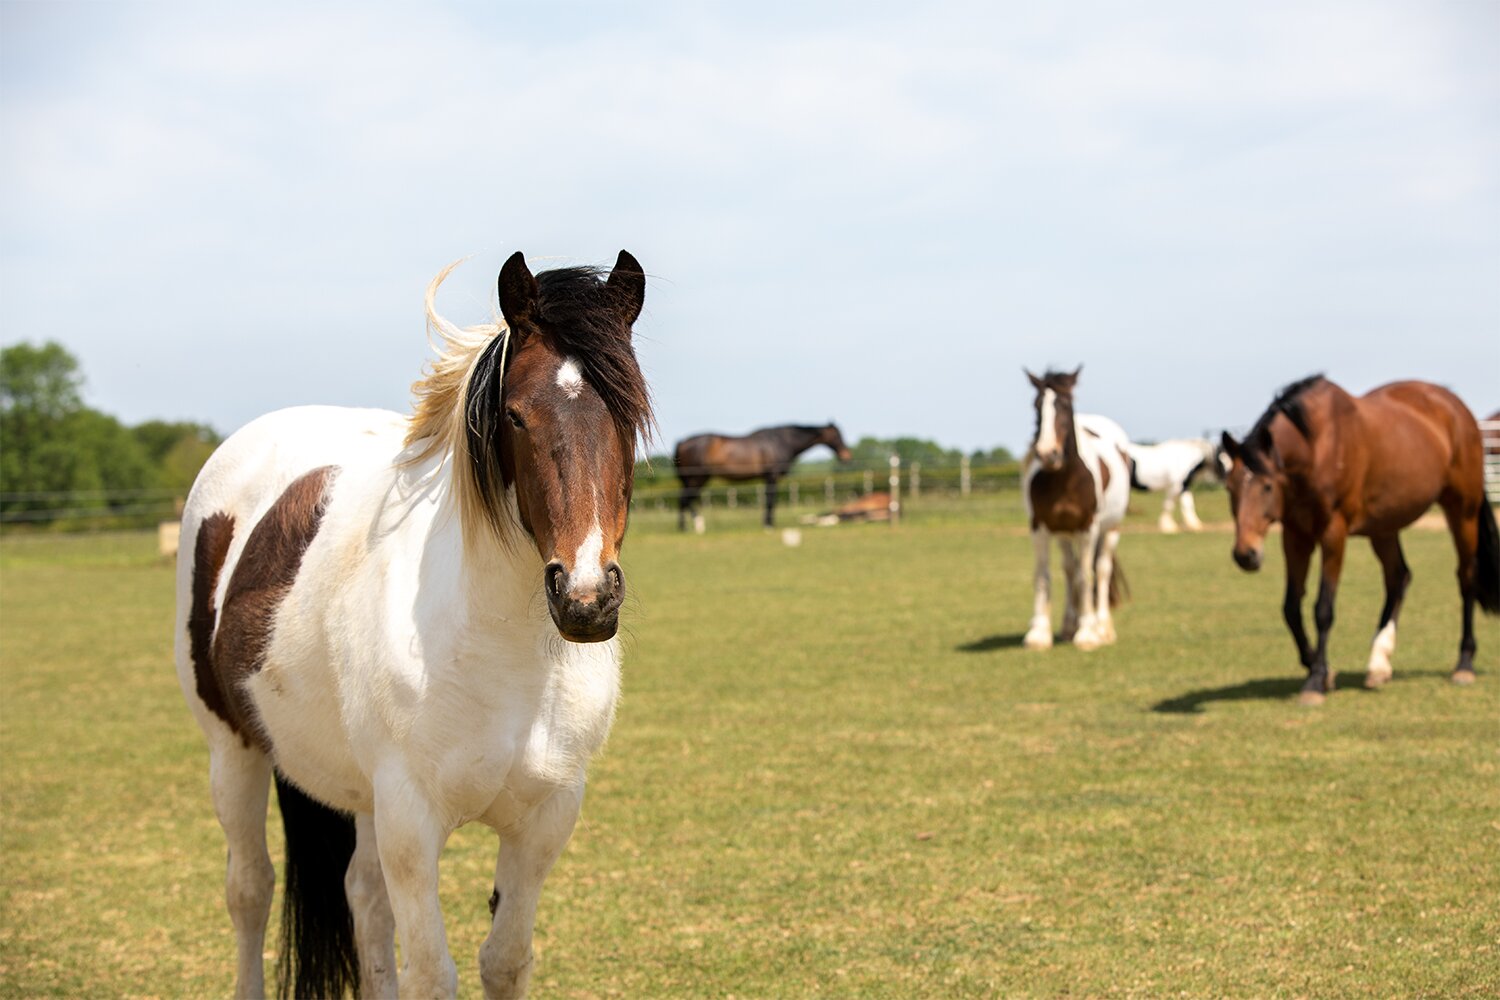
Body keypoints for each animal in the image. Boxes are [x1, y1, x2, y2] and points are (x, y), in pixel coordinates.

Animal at [172, 245, 654, 995]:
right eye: (515, 416)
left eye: (629, 414)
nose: (585, 597)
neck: (503, 654)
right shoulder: (410, 820)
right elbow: (430, 971)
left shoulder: (542, 822)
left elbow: (503, 959)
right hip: (234, 751)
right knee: (250, 891)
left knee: (362, 899)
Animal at [675, 422, 852, 530]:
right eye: (836, 435)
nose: (846, 455)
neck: (783, 441)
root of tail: (683, 442)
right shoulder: (772, 476)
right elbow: (770, 500)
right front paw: (769, 525)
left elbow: (769, 500)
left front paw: (767, 523)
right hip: (698, 477)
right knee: (685, 499)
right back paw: (698, 525)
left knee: (683, 499)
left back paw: (684, 527)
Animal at [1224, 371, 1494, 707]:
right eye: (1229, 487)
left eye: (1267, 486)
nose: (1245, 554)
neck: (1317, 446)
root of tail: (1458, 408)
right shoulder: (1296, 535)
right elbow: (1291, 608)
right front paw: (1322, 669)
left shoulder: (1333, 533)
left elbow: (1323, 608)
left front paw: (1315, 681)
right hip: (1384, 526)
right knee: (1398, 577)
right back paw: (1379, 663)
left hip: (1462, 510)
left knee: (1466, 577)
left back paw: (1464, 664)